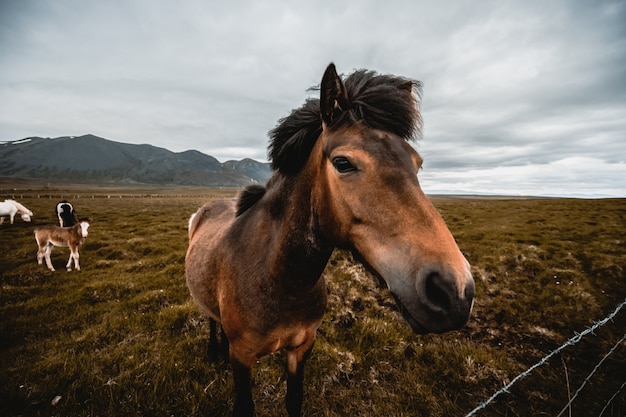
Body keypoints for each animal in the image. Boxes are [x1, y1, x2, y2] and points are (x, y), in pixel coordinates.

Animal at [185, 62, 472, 416]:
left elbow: (294, 400)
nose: (454, 290)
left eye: (417, 163)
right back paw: (214, 350)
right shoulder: (242, 356)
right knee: (210, 320)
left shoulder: (303, 345)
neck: (278, 278)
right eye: (343, 163)